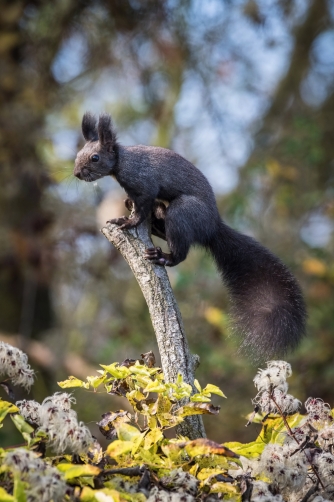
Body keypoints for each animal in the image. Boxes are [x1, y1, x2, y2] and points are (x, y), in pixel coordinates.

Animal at [74, 112, 306, 358]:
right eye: (78, 154)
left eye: (95, 158)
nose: (77, 173)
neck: (123, 161)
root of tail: (212, 227)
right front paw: (127, 208)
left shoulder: (144, 184)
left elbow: (141, 208)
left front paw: (126, 221)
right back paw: (157, 222)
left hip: (183, 212)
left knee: (180, 252)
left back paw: (163, 256)